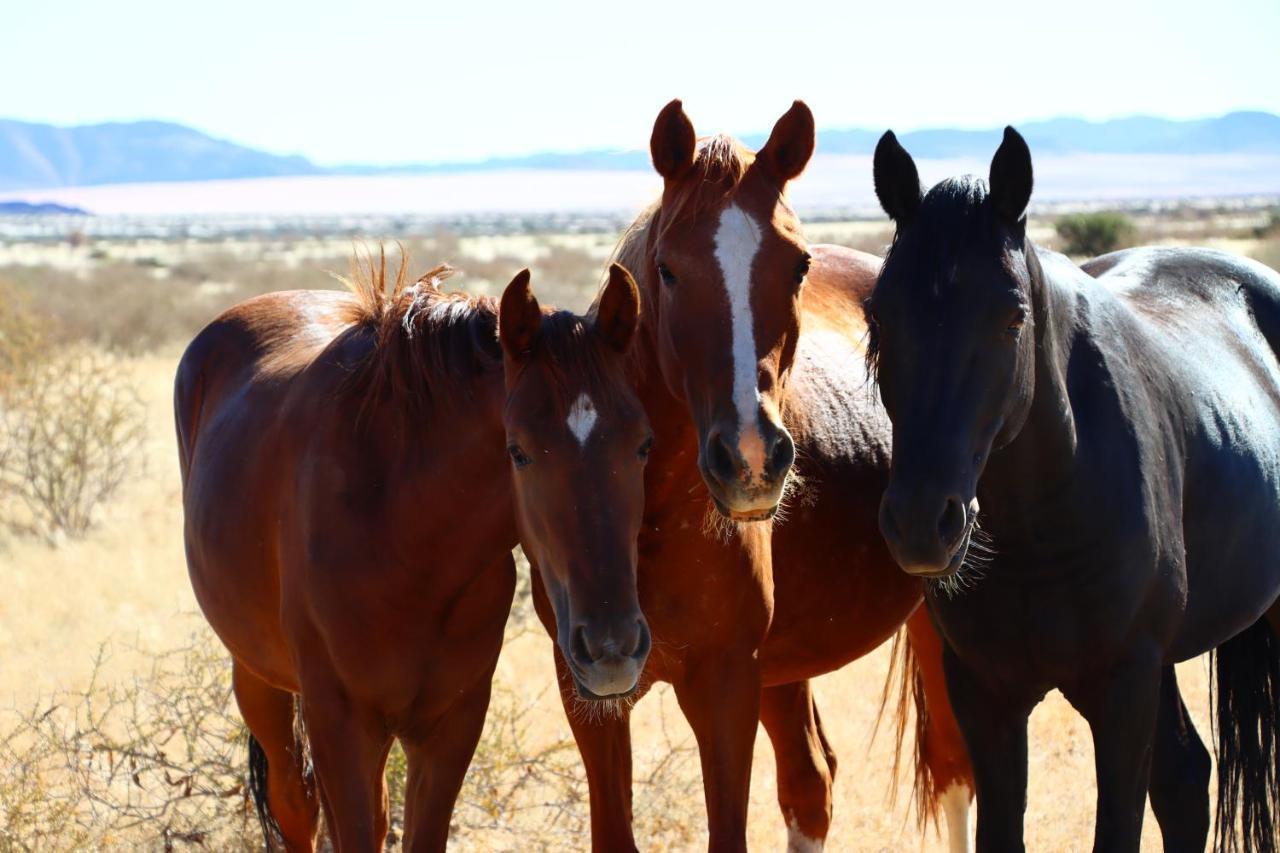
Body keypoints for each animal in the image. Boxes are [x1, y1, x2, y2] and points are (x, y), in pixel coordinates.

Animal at [519, 101, 967, 850]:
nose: (752, 459)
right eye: (667, 270)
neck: (647, 521)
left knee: (954, 772)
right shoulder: (588, 693)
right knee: (812, 782)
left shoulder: (725, 687)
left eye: (798, 265)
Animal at [865, 126, 1280, 850]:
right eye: (881, 319)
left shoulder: (1123, 690)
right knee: (1185, 778)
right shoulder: (986, 697)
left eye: (1012, 319)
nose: (919, 525)